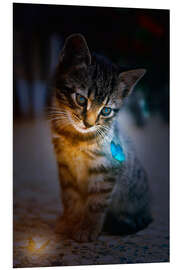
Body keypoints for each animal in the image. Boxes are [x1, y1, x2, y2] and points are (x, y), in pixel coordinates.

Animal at [50, 33, 153, 243]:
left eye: (106, 110)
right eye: (81, 99)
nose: (88, 123)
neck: (76, 138)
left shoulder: (105, 169)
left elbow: (96, 203)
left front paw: (87, 227)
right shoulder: (64, 167)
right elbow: (70, 197)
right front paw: (69, 221)